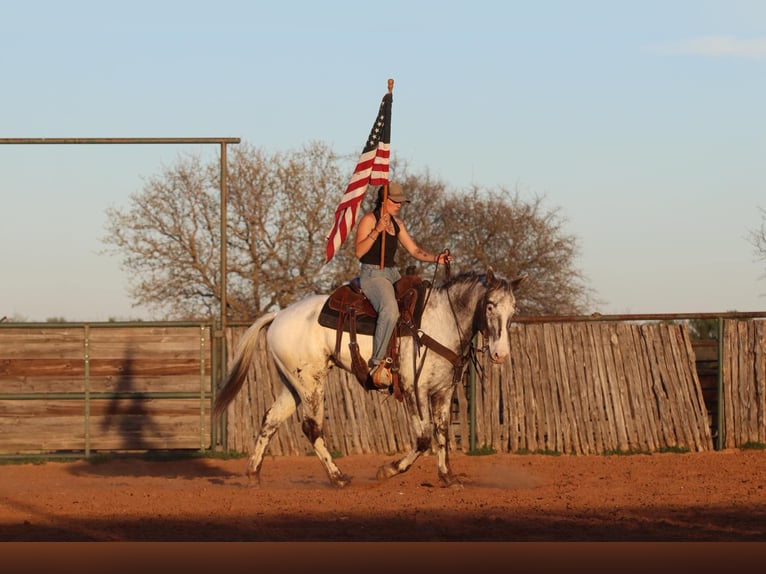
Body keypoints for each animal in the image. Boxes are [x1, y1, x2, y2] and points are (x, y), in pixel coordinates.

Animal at [212, 267, 525, 488]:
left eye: (514, 309)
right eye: (490, 305)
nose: (500, 353)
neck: (440, 322)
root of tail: (278, 315)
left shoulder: (443, 392)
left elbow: (442, 434)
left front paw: (448, 477)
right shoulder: (413, 390)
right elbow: (424, 438)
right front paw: (387, 470)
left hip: (293, 384)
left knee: (271, 420)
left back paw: (253, 474)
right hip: (312, 384)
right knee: (312, 427)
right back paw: (338, 477)